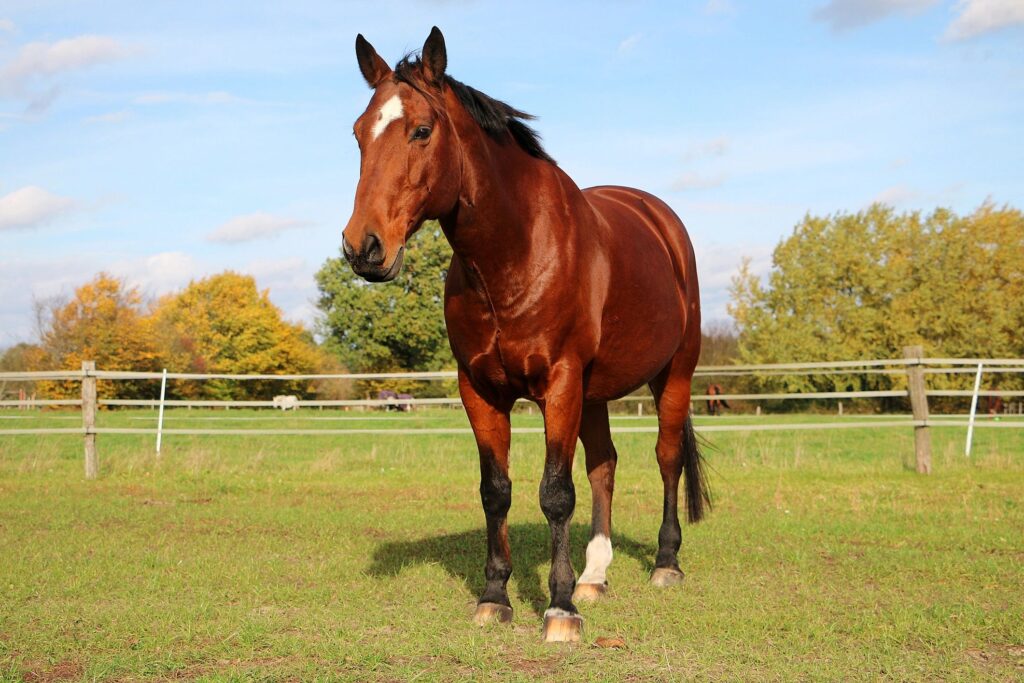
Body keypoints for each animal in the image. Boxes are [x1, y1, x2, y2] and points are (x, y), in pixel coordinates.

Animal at [341, 27, 710, 642]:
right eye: (358, 132)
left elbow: (555, 494)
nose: (363, 248)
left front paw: (558, 609)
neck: (515, 251)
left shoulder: (558, 384)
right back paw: (595, 574)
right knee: (604, 464)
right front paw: (495, 596)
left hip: (672, 375)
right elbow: (497, 491)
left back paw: (665, 563)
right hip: (594, 392)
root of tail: (659, 219)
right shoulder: (481, 390)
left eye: (422, 129)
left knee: (666, 458)